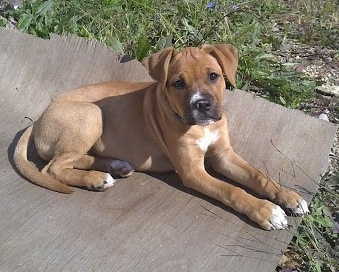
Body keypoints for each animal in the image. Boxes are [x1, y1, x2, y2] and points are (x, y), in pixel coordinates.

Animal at [13, 44, 310, 230]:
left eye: (214, 76)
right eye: (178, 83)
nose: (202, 105)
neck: (197, 126)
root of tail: (41, 114)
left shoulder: (223, 155)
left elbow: (258, 175)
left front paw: (289, 197)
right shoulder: (193, 171)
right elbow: (232, 190)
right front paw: (266, 211)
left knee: (73, 160)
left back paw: (115, 166)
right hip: (91, 114)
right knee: (53, 168)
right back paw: (96, 179)